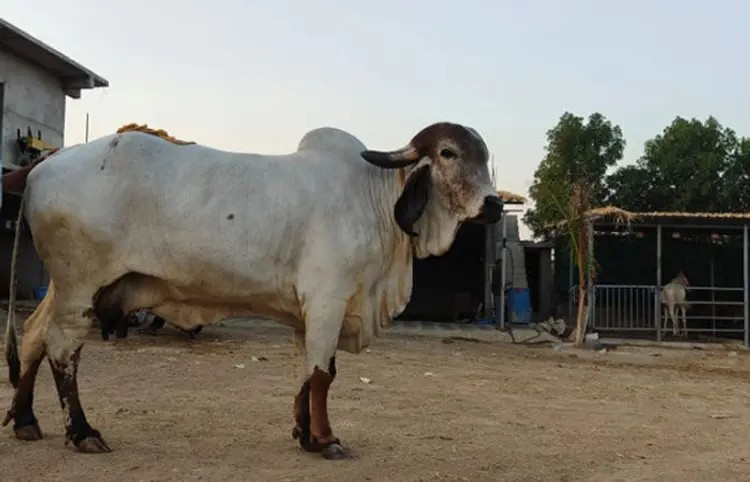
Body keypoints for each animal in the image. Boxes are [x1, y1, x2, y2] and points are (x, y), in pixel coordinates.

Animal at [3, 121, 504, 459]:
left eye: (484, 156)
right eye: (448, 152)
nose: (495, 204)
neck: (371, 197)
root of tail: (44, 165)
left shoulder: (308, 313)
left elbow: (307, 372)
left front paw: (305, 435)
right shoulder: (328, 301)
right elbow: (324, 374)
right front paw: (327, 440)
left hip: (66, 289)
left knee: (33, 337)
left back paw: (26, 420)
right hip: (81, 287)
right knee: (62, 349)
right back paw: (82, 432)